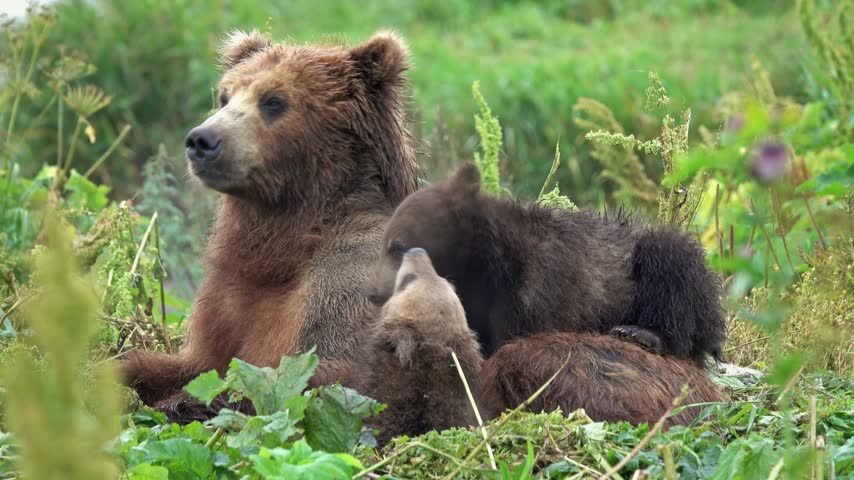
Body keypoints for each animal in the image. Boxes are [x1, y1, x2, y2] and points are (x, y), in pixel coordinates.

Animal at [119, 29, 422, 421]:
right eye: (224, 96)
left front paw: (179, 403)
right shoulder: (229, 294)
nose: (202, 140)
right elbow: (198, 362)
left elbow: (318, 379)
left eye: (274, 100)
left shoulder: (348, 280)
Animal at [366, 162, 727, 366]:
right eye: (384, 244)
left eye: (396, 246)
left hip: (650, 264)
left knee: (673, 267)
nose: (373, 293)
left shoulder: (534, 286)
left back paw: (642, 332)